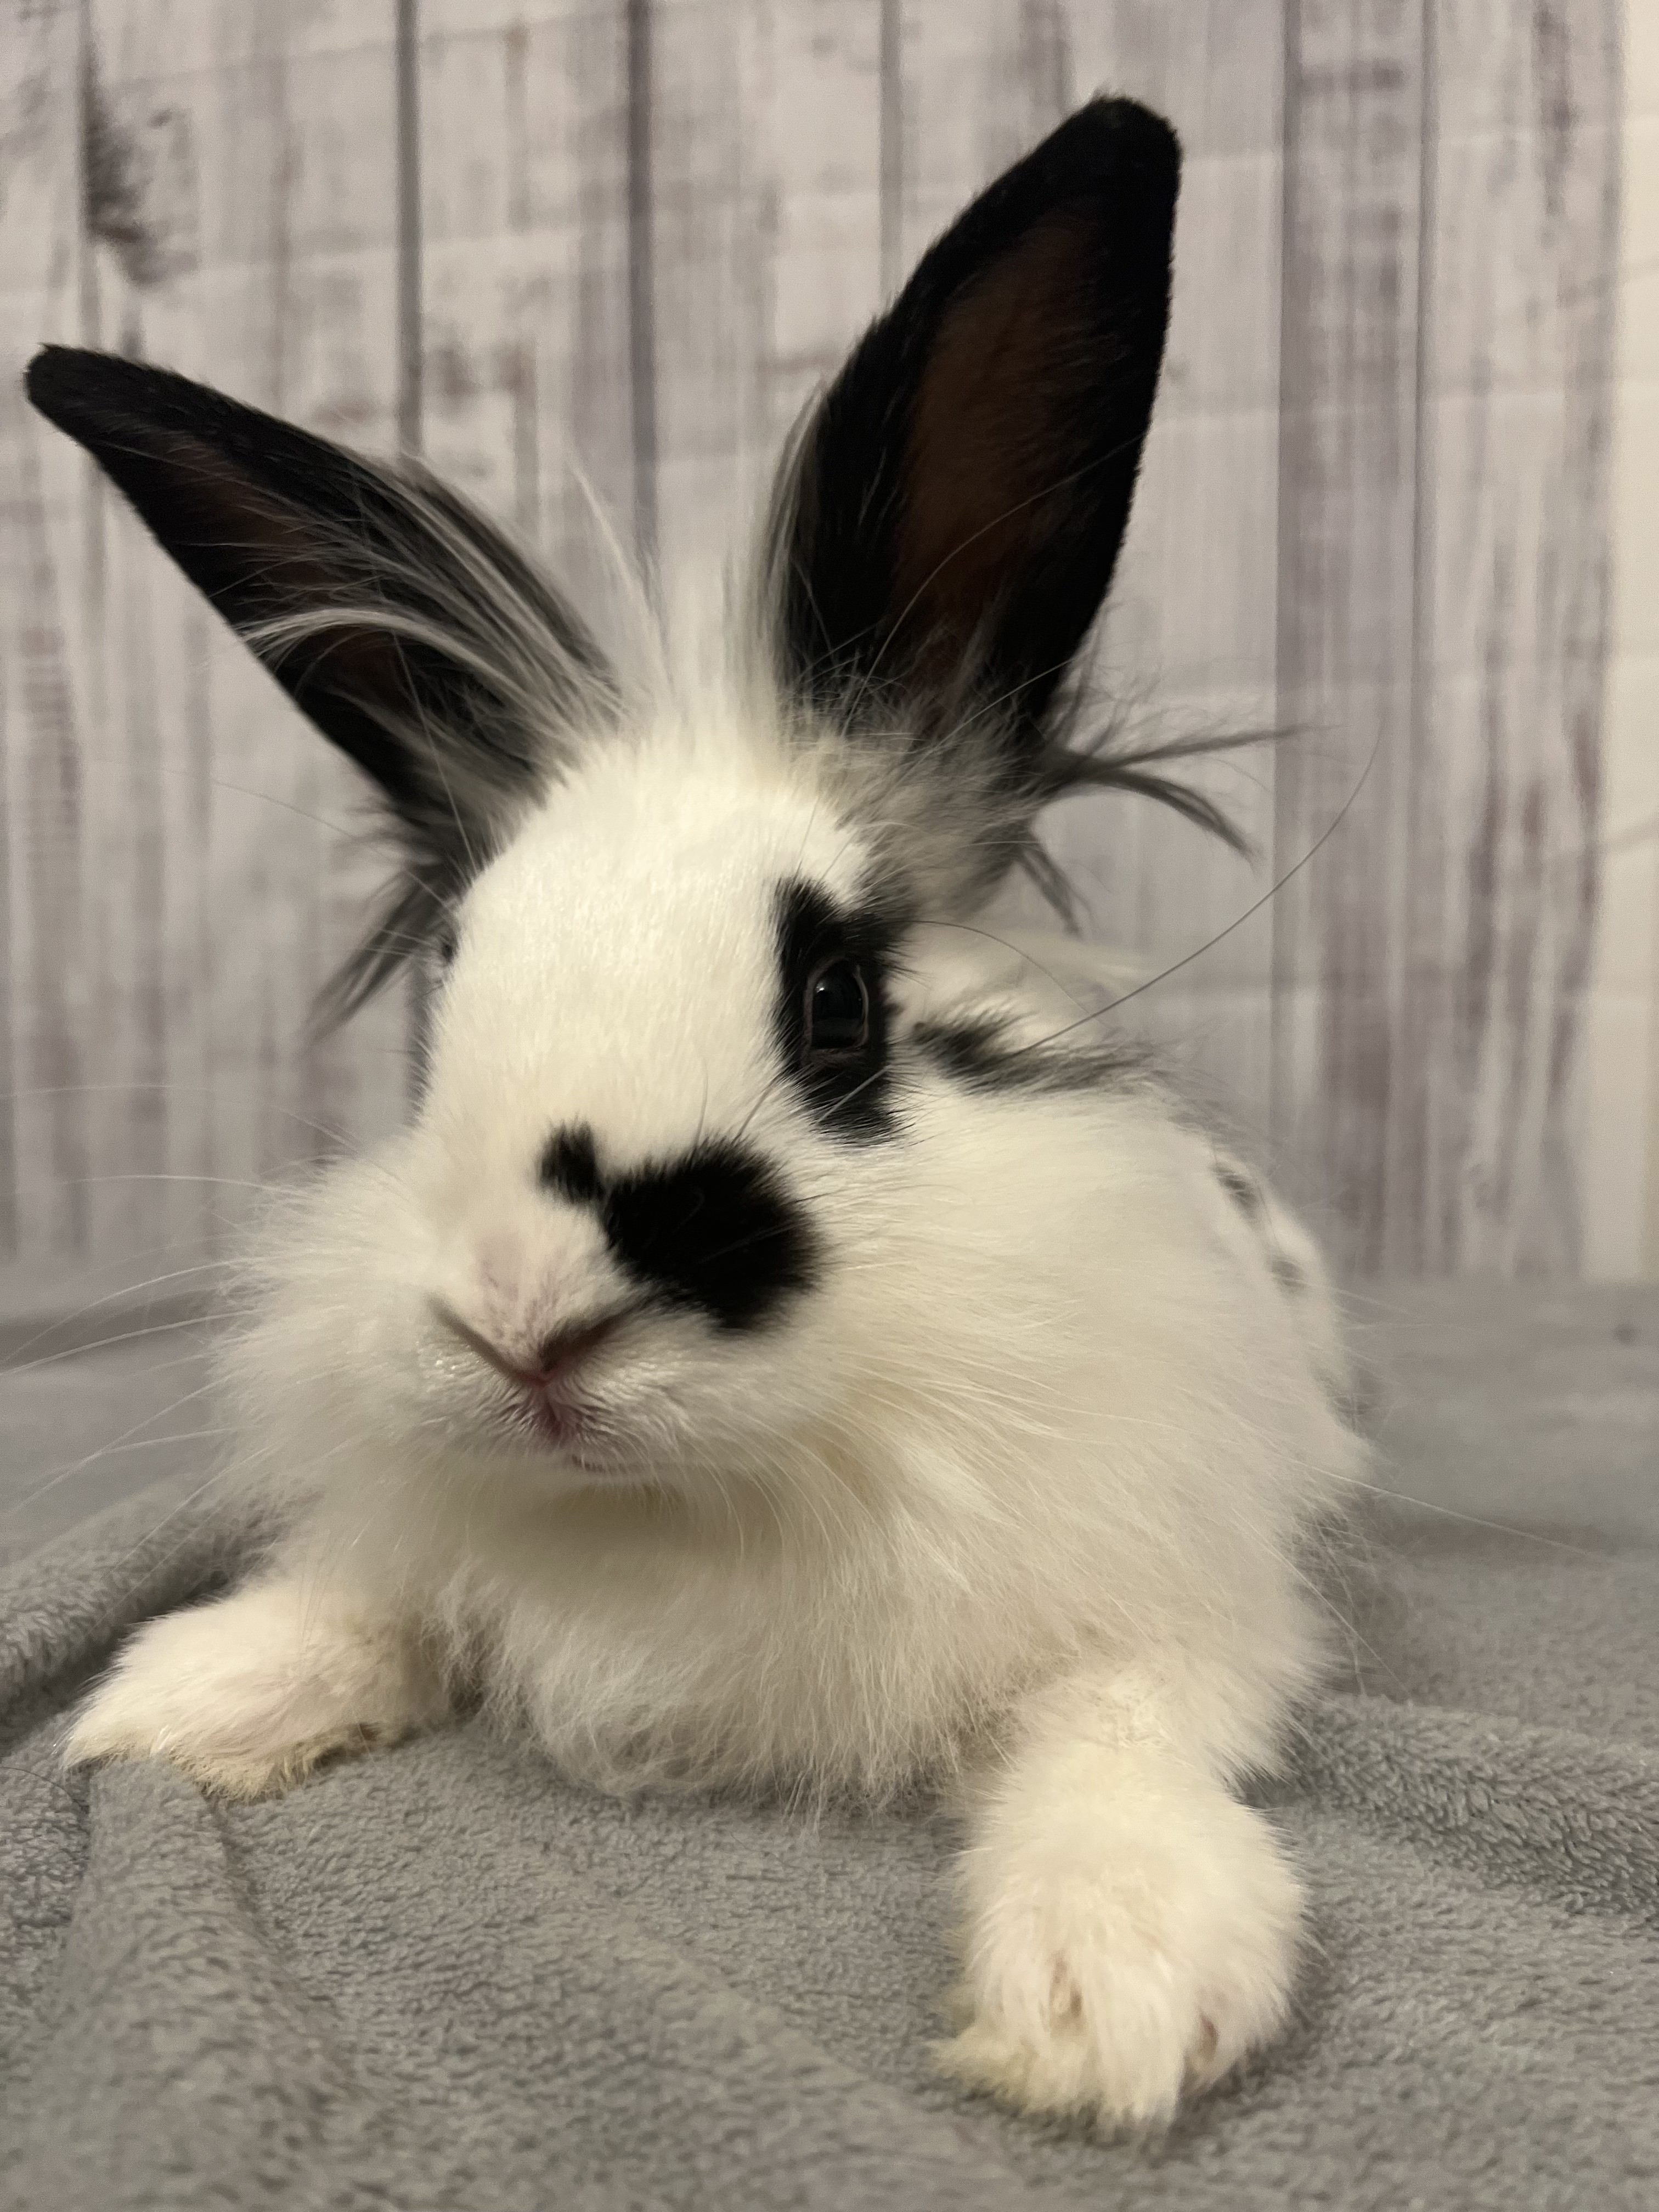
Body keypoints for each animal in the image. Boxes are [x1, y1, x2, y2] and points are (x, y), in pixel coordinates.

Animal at [28, 98, 1362, 2130]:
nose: (527, 1328)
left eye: (836, 1007)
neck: (703, 1499)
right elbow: (359, 1600)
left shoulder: (1174, 1590)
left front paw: (1113, 1987)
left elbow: (1122, 1739)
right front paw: (183, 1704)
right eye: (443, 998)